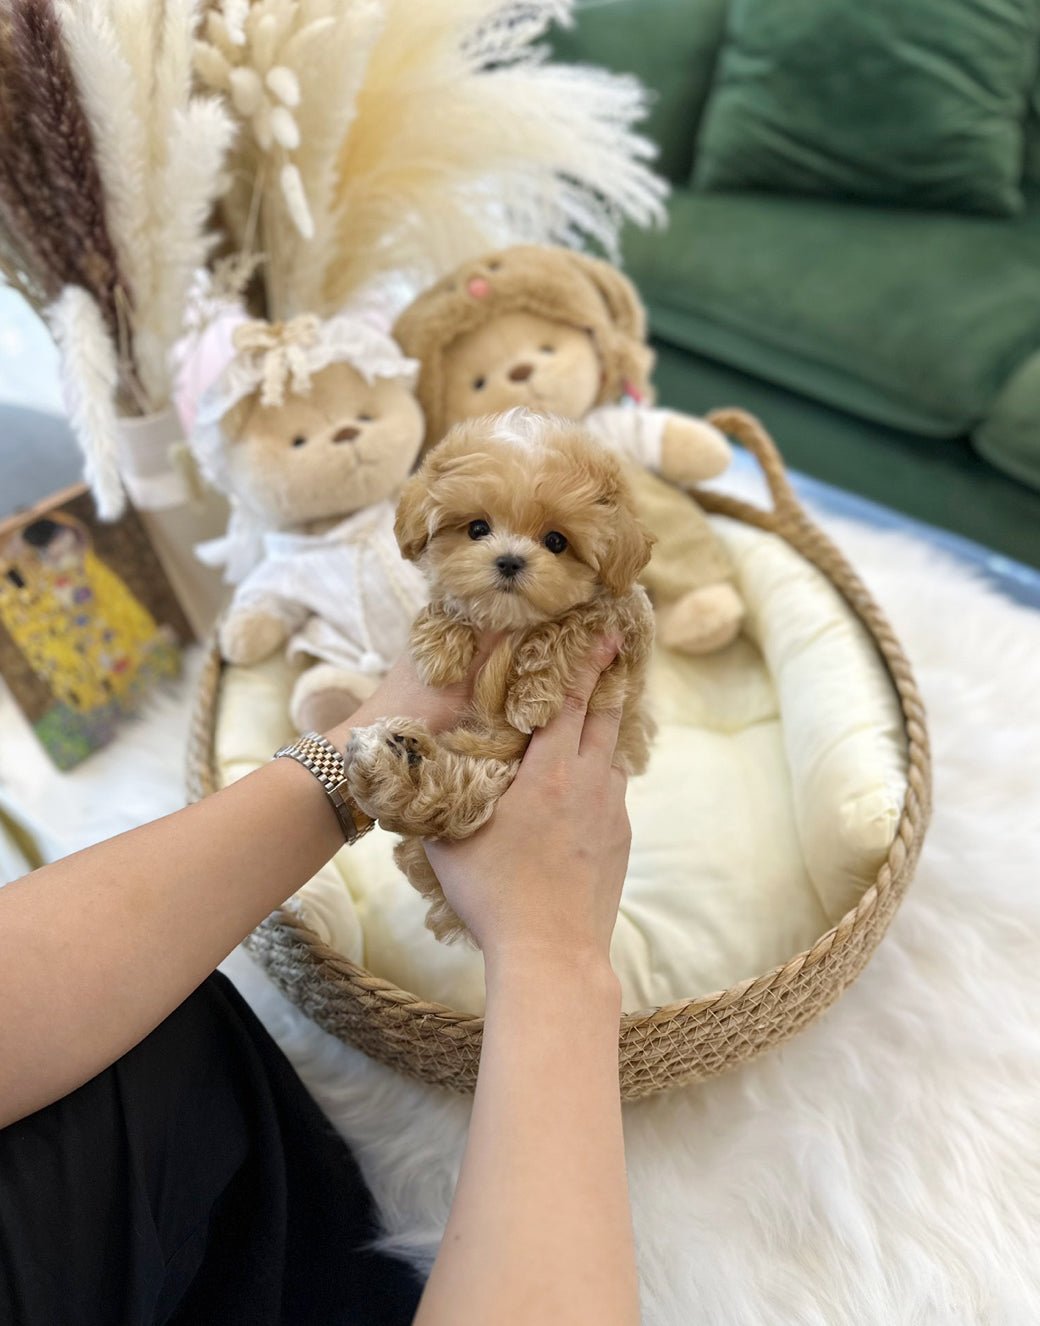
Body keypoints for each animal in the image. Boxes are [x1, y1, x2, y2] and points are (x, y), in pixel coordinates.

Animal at [344, 408, 655, 938]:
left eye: (557, 541)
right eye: (477, 529)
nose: (509, 561)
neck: (511, 622)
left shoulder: (626, 625)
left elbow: (572, 622)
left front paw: (531, 695)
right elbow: (449, 601)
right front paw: (441, 646)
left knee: (448, 804)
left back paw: (400, 765)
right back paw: (397, 763)